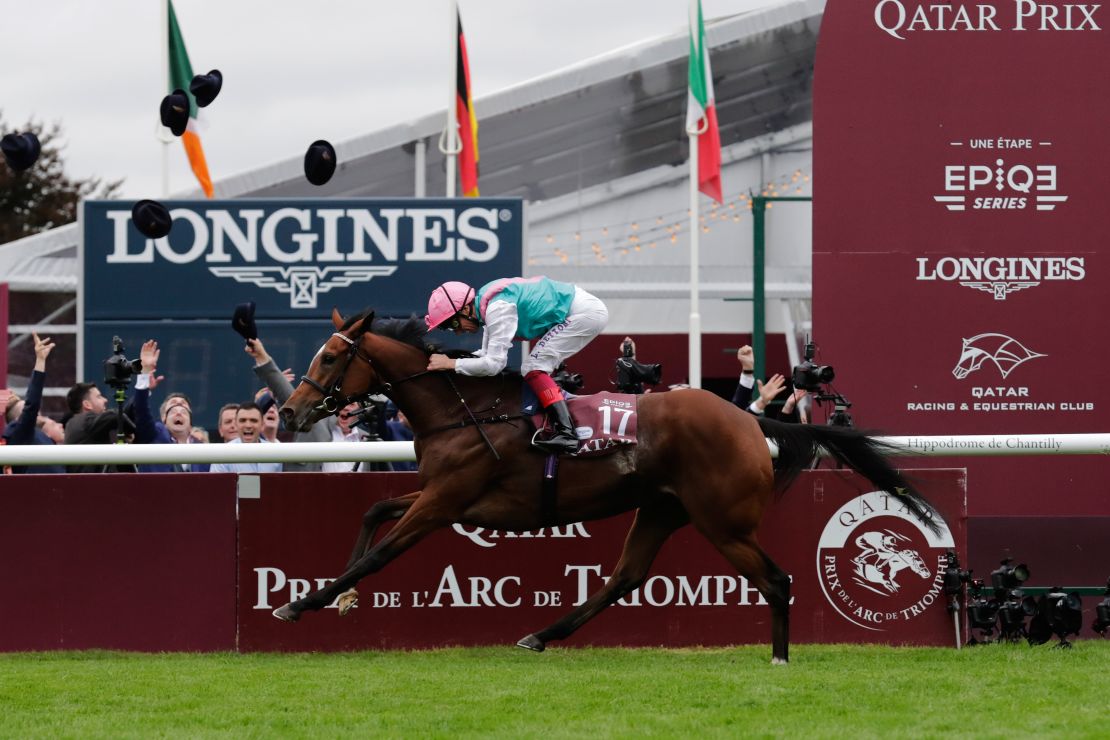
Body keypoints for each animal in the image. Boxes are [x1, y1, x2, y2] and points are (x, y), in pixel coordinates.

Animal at [275, 310, 936, 661]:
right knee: (625, 577)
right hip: (662, 509)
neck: (464, 409)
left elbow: (382, 551)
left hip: (722, 521)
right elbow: (375, 512)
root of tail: (749, 419)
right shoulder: (441, 494)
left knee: (776, 580)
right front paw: (336, 599)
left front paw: (303, 602)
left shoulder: (447, 500)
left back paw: (778, 658)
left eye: (330, 357)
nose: (289, 412)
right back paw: (540, 635)